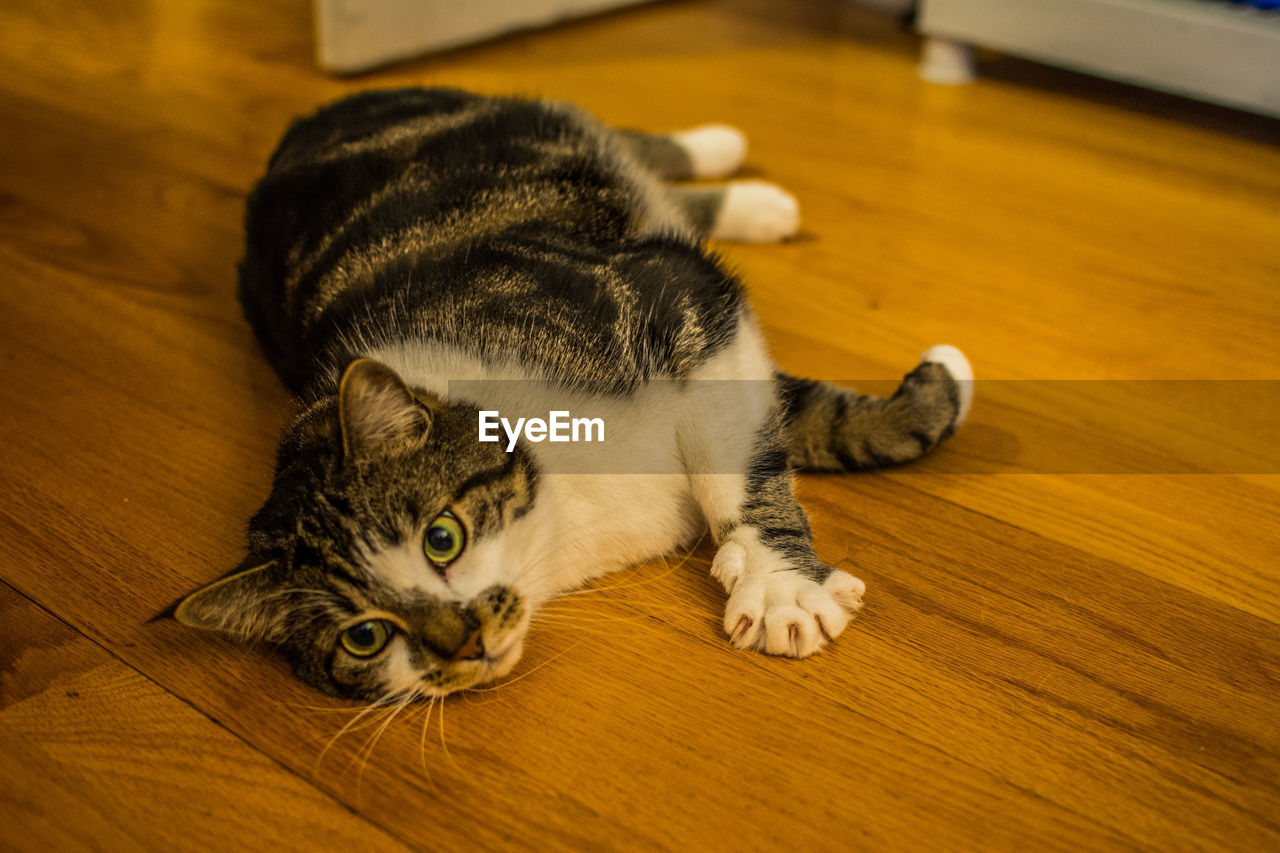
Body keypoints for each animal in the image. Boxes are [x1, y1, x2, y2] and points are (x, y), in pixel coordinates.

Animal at [170, 87, 967, 696]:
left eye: (441, 537)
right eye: (365, 636)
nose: (463, 640)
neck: (562, 505)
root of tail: (305, 122)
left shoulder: (676, 296)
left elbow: (740, 467)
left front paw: (777, 587)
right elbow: (815, 420)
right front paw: (933, 390)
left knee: (630, 146)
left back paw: (723, 151)